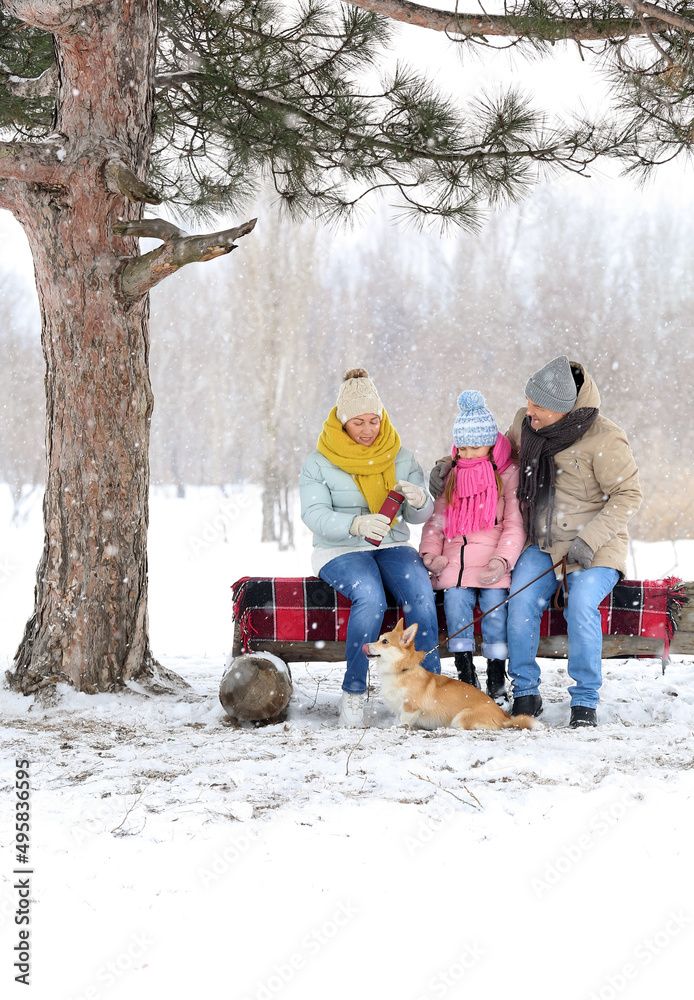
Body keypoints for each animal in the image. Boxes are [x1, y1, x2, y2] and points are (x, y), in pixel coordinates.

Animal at [368, 620, 540, 732]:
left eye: (385, 641)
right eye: (379, 638)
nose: (365, 645)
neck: (402, 670)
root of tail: (504, 717)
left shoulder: (410, 707)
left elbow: (404, 720)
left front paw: (397, 727)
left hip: (461, 717)